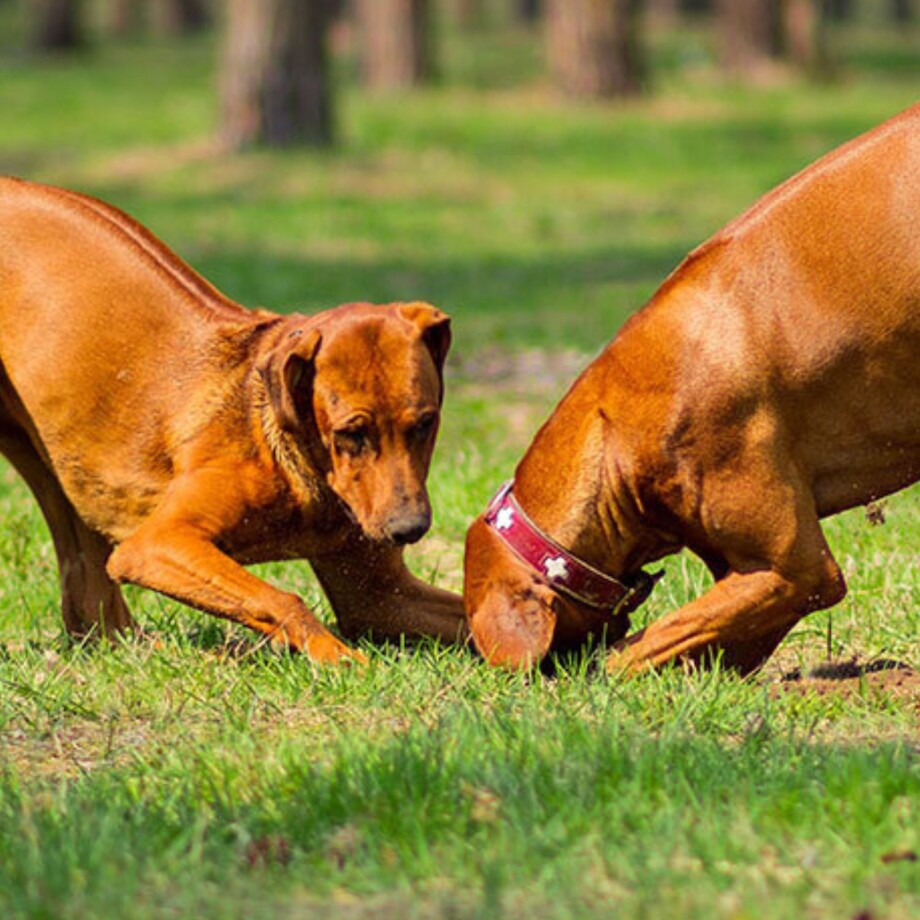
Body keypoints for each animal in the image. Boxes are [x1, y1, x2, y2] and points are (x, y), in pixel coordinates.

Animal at [0, 176, 464, 660]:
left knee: (92, 608)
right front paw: (341, 658)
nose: (409, 529)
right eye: (351, 433)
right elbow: (283, 600)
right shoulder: (156, 543)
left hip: (59, 464)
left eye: (425, 423)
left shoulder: (380, 595)